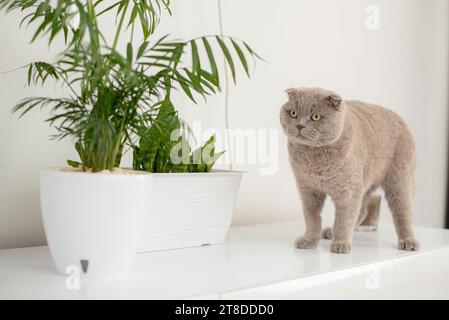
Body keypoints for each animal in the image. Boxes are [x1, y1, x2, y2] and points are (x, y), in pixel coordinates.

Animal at [280, 86, 420, 254]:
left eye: (316, 117)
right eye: (293, 113)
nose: (299, 125)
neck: (314, 158)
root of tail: (400, 119)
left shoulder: (348, 190)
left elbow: (345, 218)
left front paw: (340, 243)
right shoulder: (308, 190)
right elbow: (311, 218)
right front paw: (309, 240)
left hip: (399, 180)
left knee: (403, 212)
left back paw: (408, 241)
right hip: (365, 180)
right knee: (363, 210)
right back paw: (330, 231)